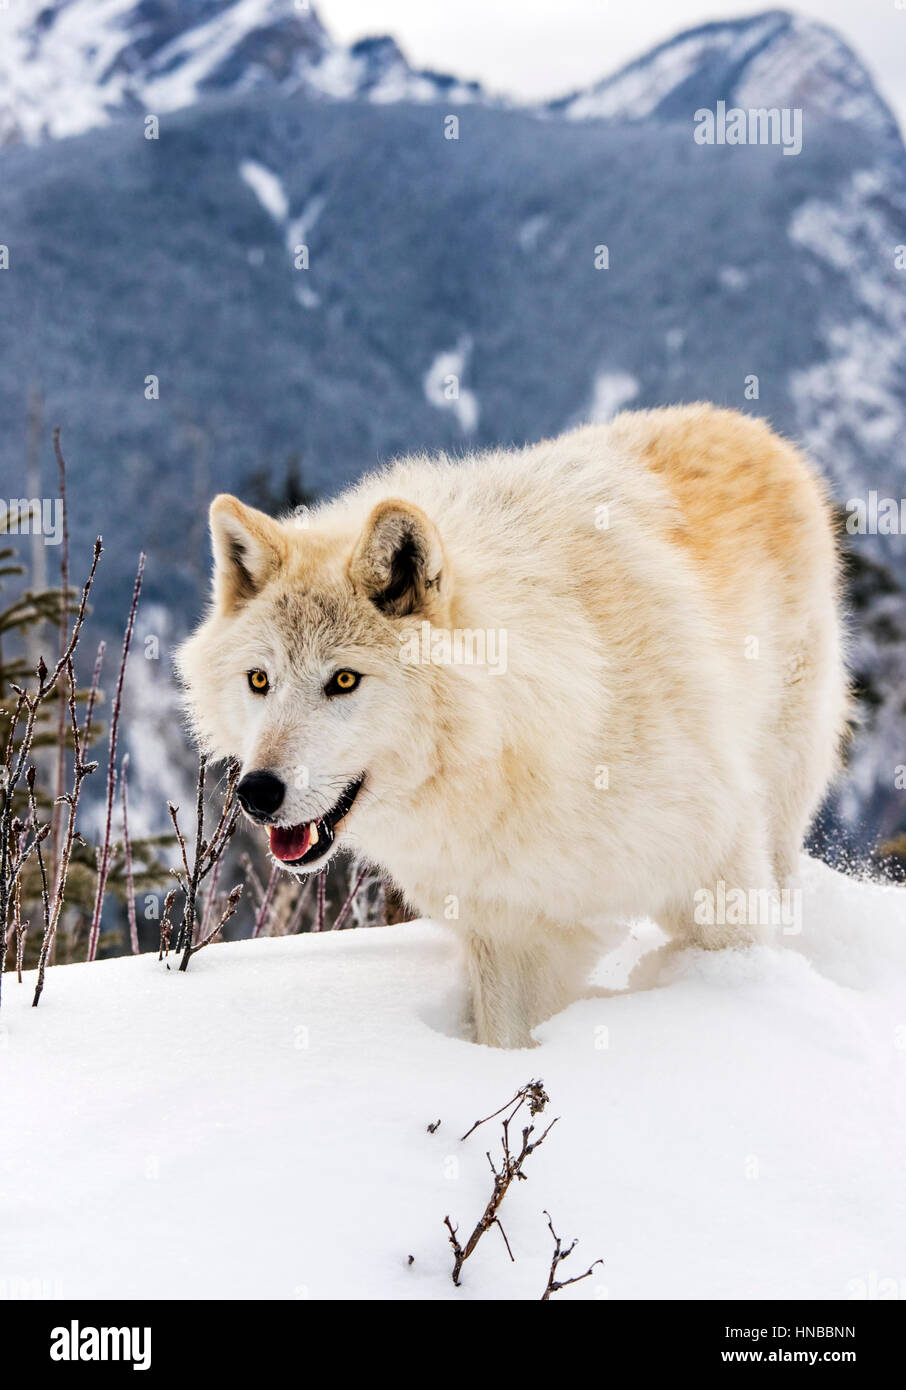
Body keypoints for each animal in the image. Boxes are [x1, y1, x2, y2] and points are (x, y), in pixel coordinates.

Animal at [178, 404, 848, 1048]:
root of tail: (747, 427)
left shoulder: (716, 865)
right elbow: (507, 1041)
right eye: (259, 680)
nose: (257, 792)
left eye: (343, 680)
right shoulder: (508, 925)